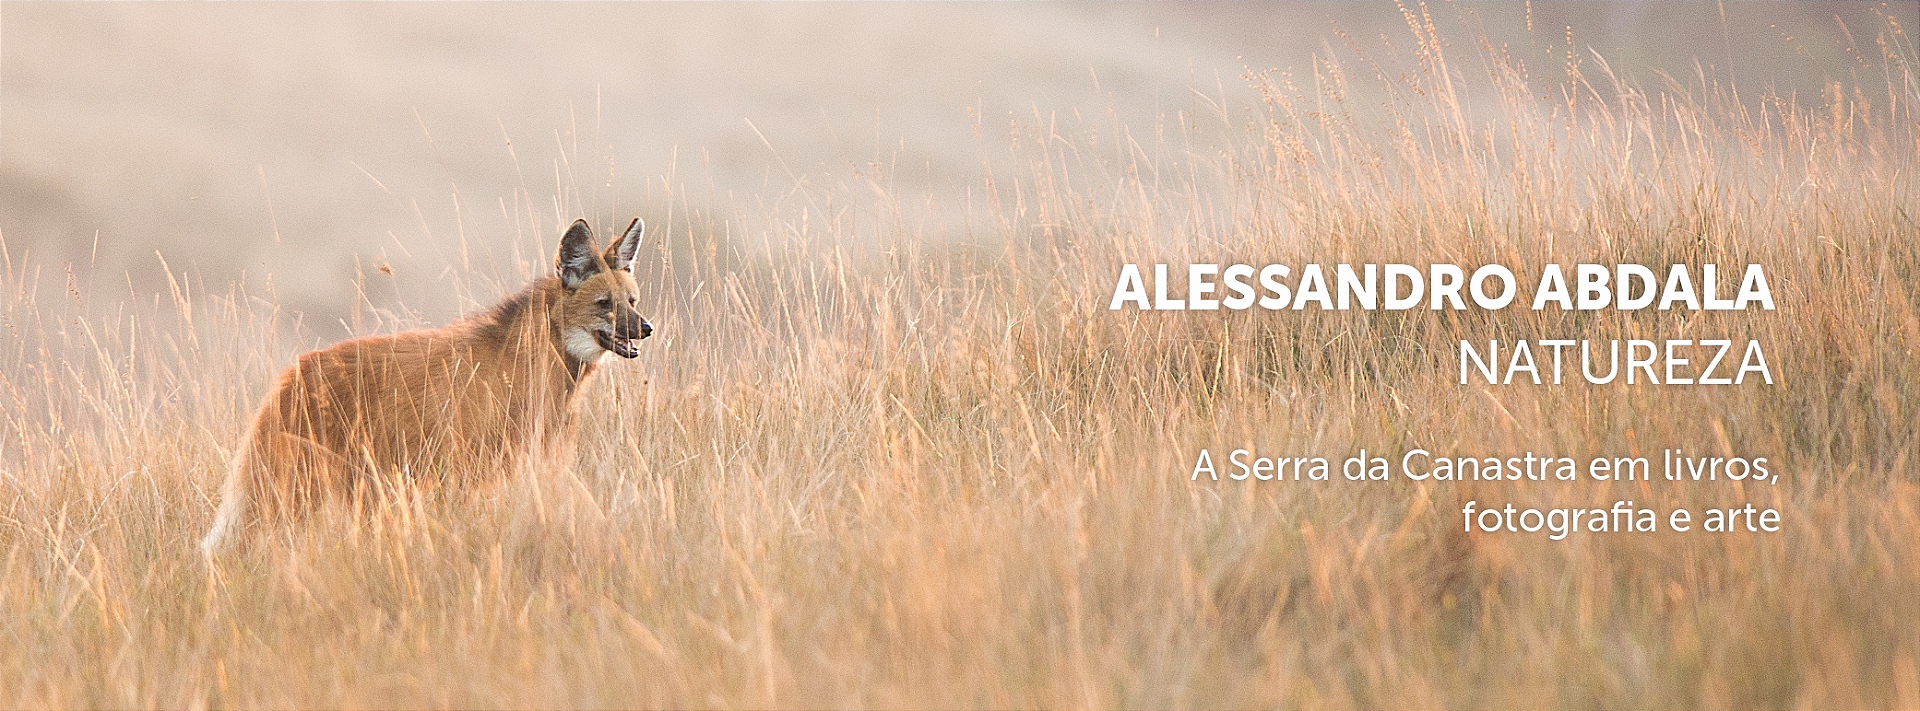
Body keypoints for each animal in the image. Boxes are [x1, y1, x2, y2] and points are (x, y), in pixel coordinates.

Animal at [200, 218, 653, 554]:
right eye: (605, 305)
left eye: (631, 301)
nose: (646, 328)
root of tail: (289, 377)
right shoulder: (468, 470)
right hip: (299, 494)